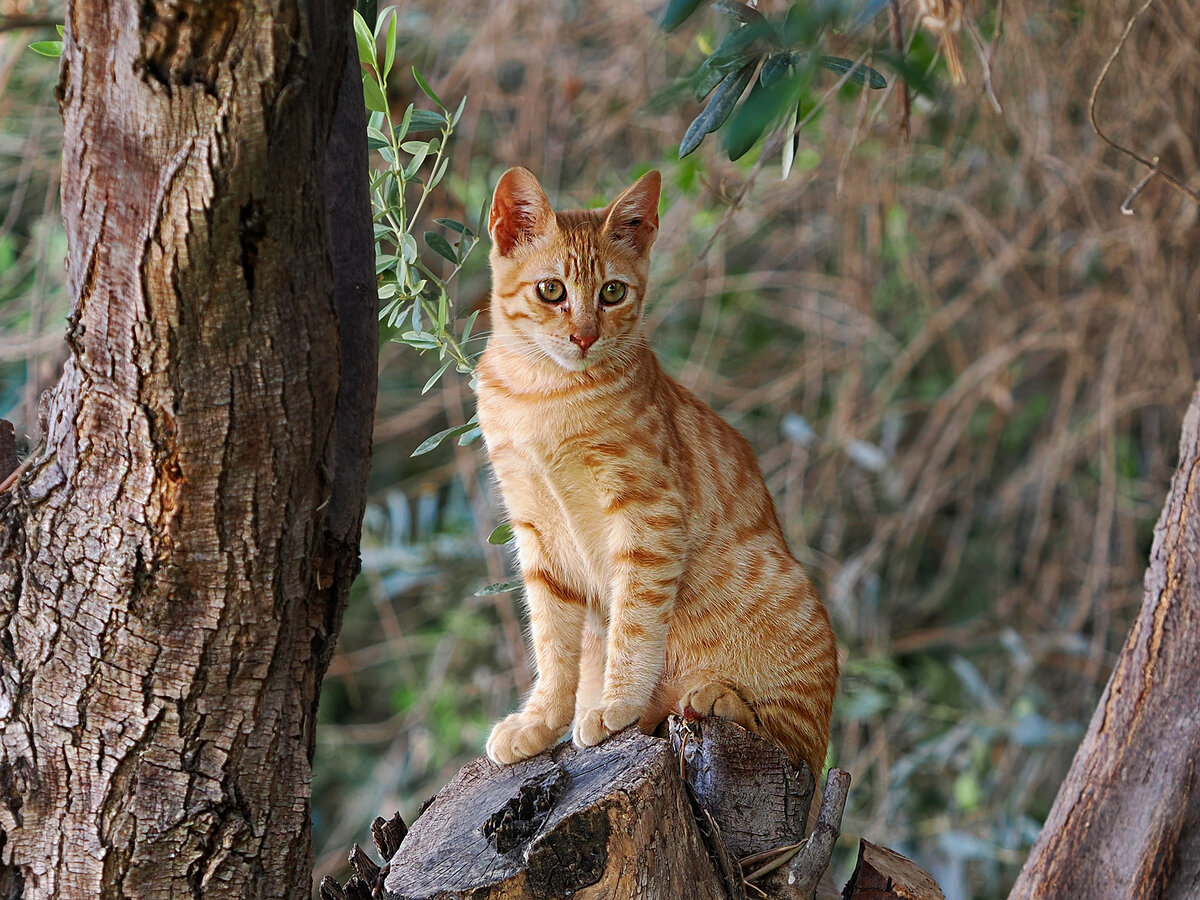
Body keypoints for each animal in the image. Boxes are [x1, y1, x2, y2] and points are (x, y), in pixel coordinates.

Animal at [475, 168, 835, 777]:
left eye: (612, 292)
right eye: (552, 291)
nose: (584, 336)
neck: (542, 393)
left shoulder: (648, 515)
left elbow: (635, 622)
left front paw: (615, 703)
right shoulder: (537, 534)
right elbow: (552, 645)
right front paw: (541, 723)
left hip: (790, 613)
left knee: (795, 741)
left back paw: (713, 697)